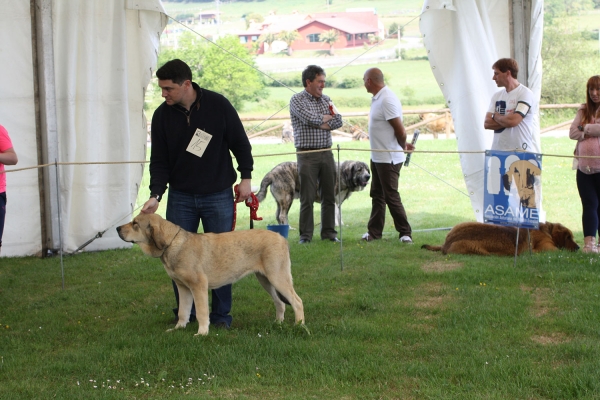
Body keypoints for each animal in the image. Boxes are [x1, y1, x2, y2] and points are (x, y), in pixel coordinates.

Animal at [116, 214, 304, 336]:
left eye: (135, 224)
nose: (117, 228)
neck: (173, 244)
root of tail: (281, 237)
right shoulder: (183, 288)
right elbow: (183, 311)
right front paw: (178, 329)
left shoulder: (198, 286)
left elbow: (201, 312)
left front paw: (202, 333)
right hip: (266, 280)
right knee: (280, 302)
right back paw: (278, 323)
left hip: (278, 278)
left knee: (297, 301)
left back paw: (299, 325)